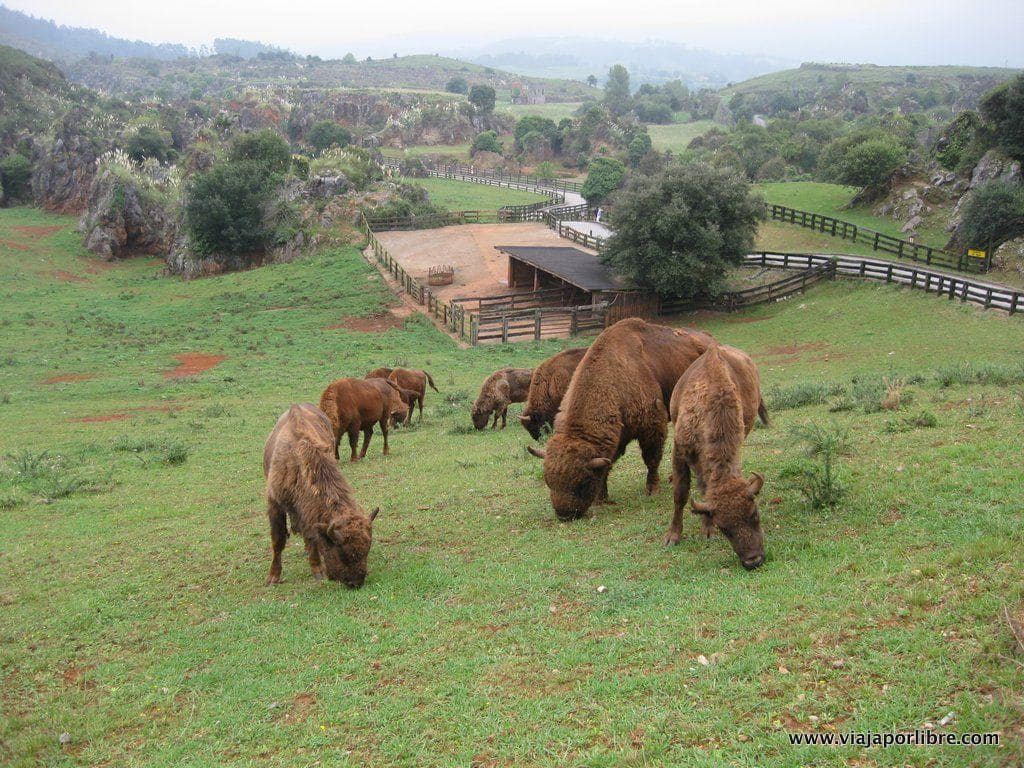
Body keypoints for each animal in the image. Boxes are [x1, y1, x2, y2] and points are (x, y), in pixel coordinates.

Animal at [262, 403, 378, 589]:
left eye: (366, 550)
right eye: (341, 552)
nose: (356, 582)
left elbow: (311, 536)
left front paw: (317, 570)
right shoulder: (274, 502)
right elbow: (278, 540)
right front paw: (273, 577)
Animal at [524, 319, 716, 524]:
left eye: (582, 481)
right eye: (548, 481)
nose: (564, 514)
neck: (615, 377)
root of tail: (710, 341)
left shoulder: (653, 426)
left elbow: (651, 459)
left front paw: (652, 489)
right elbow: (607, 464)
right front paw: (601, 497)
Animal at [663, 348, 770, 573]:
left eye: (754, 514)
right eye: (724, 528)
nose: (753, 560)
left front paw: (706, 530)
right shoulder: (679, 450)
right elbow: (680, 494)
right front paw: (672, 537)